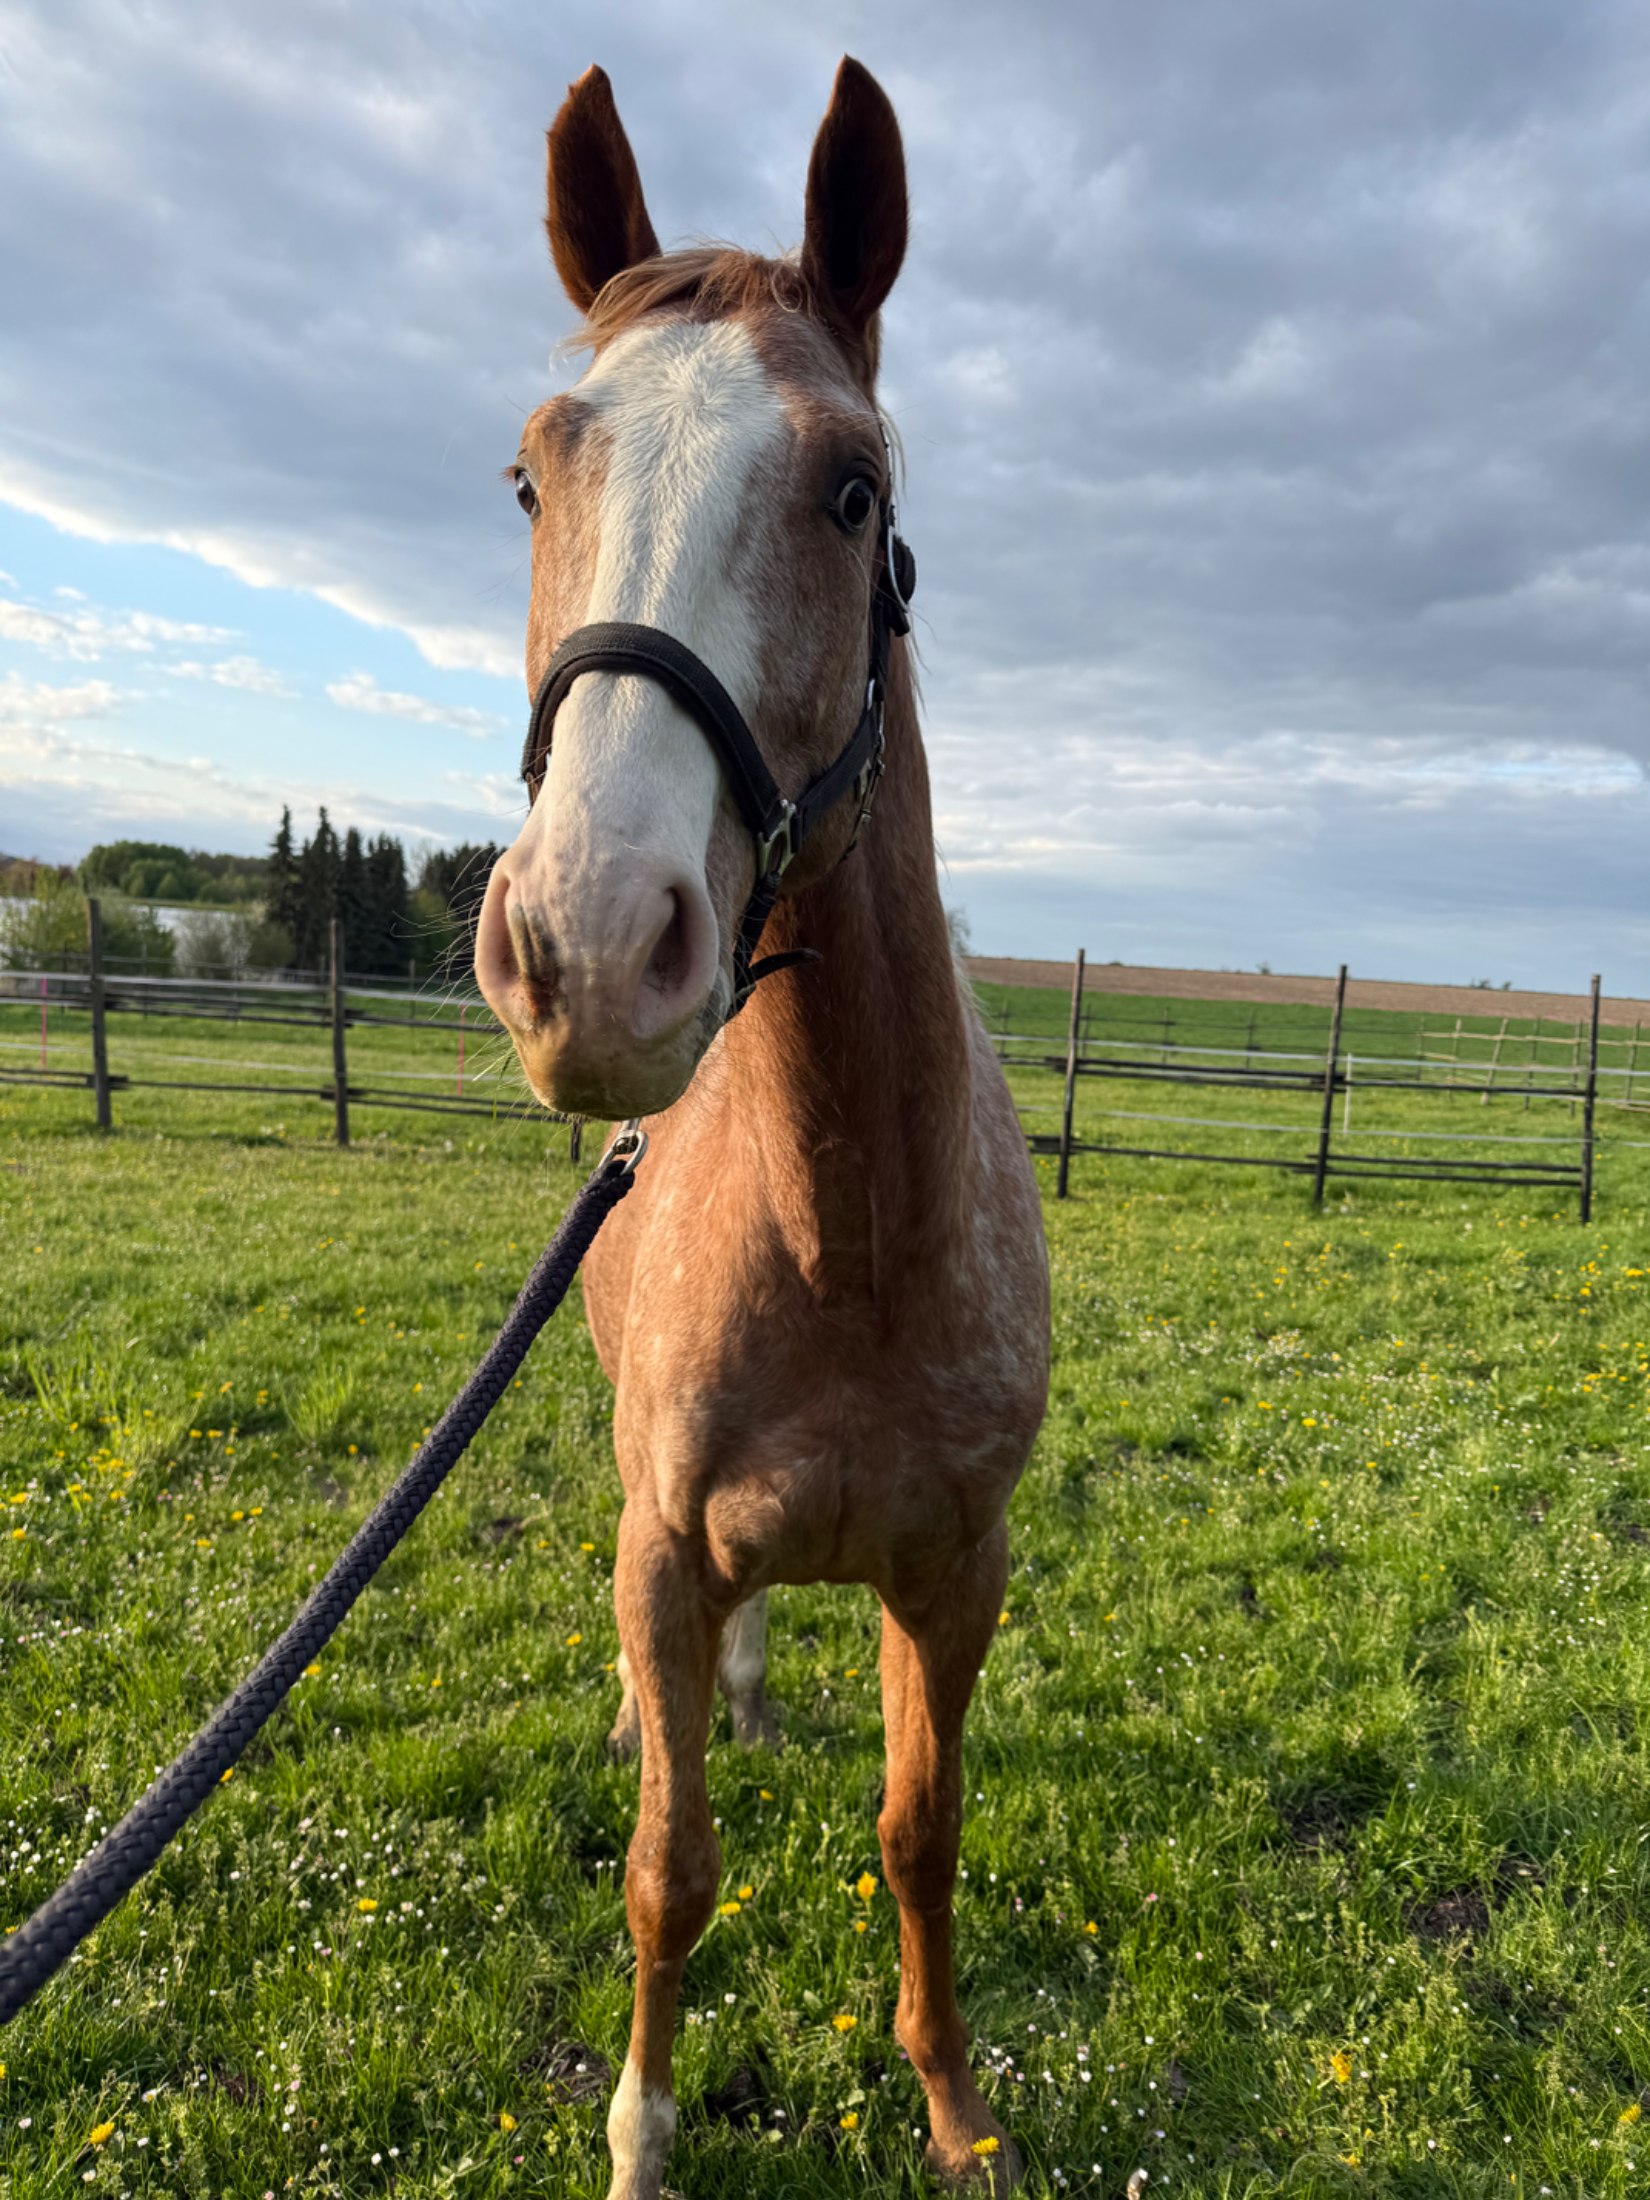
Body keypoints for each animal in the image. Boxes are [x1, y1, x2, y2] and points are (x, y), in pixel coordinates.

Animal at [475, 57, 1050, 2199]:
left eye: (853, 489)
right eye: (531, 476)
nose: (583, 946)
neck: (851, 1230)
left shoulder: (956, 1572)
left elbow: (921, 1833)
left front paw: (955, 2103)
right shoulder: (662, 1552)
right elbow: (668, 1873)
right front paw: (642, 2134)